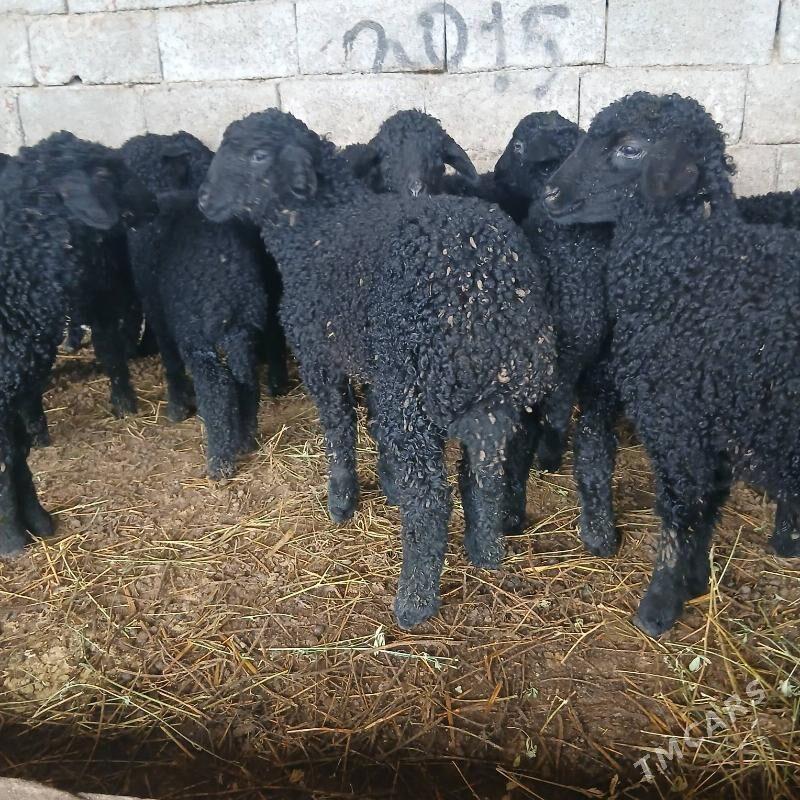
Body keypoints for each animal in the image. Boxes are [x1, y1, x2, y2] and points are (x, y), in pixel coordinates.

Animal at [120, 131, 283, 479]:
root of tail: (229, 280)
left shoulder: (159, 310)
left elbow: (170, 360)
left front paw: (177, 407)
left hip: (199, 334)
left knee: (218, 387)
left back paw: (219, 461)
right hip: (242, 331)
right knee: (245, 380)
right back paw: (245, 439)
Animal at [198, 109, 556, 628]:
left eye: (259, 155)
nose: (204, 200)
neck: (318, 228)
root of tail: (485, 288)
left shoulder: (321, 358)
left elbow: (340, 430)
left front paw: (341, 500)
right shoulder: (375, 366)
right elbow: (373, 426)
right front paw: (387, 483)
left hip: (417, 394)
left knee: (431, 498)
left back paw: (414, 601)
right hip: (500, 392)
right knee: (486, 475)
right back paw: (486, 552)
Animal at [544, 91, 800, 637]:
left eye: (632, 148)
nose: (551, 193)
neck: (694, 272)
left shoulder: (678, 419)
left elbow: (680, 508)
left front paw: (658, 604)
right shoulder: (711, 424)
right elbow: (708, 506)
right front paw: (696, 578)